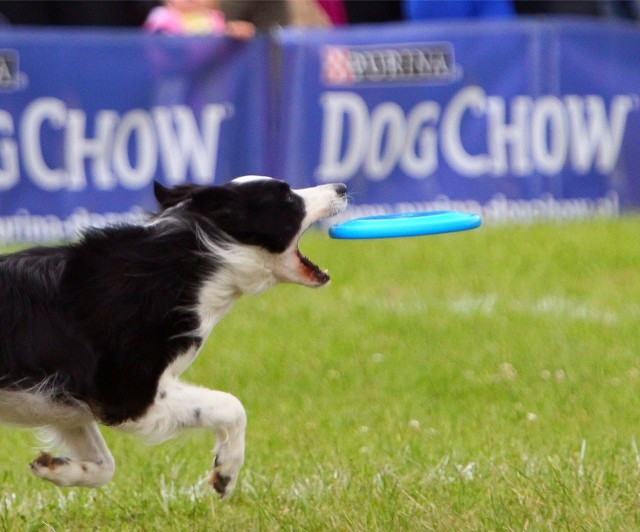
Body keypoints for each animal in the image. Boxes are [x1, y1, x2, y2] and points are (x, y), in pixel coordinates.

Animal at [0, 177, 344, 496]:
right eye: (287, 197)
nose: (341, 187)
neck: (188, 265)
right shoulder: (130, 395)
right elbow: (232, 406)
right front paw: (226, 472)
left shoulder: (67, 400)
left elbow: (104, 465)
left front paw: (56, 468)